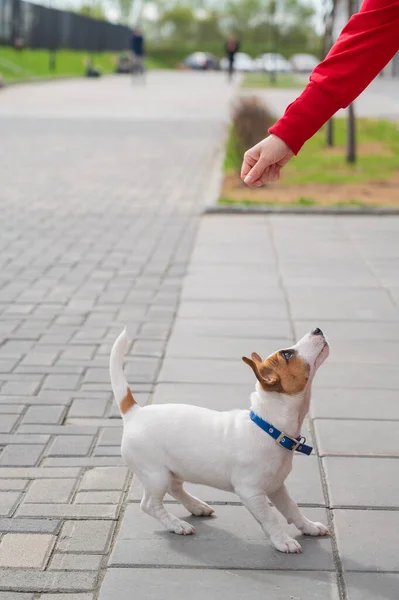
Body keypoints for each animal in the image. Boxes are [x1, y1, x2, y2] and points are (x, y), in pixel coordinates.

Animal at [110, 328, 332, 552]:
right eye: (287, 354)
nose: (317, 329)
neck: (268, 427)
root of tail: (134, 412)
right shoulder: (251, 492)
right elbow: (270, 518)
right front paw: (283, 540)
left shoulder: (277, 486)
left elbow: (291, 508)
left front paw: (309, 527)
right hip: (156, 476)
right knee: (150, 505)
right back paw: (176, 524)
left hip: (174, 469)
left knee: (175, 488)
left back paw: (196, 506)